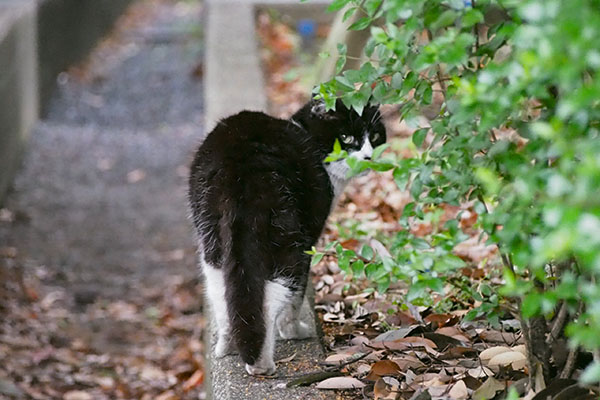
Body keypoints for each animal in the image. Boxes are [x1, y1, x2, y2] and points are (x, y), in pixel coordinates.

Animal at [188, 97, 384, 376]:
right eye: (346, 137)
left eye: (375, 136)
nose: (369, 156)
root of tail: (240, 166)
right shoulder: (309, 238)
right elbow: (297, 296)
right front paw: (291, 331)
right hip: (287, 238)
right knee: (275, 293)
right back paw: (261, 362)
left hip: (210, 232)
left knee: (220, 289)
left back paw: (227, 345)